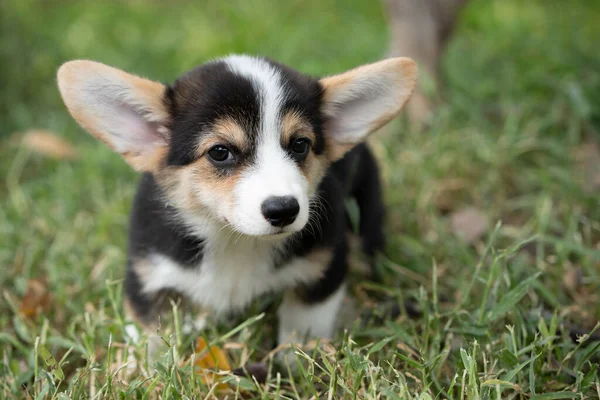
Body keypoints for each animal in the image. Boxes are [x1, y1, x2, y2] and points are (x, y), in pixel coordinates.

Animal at [56, 55, 414, 354]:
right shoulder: (148, 278)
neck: (234, 239)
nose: (284, 210)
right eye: (219, 152)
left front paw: (295, 363)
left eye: (300, 145)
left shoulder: (324, 267)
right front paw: (143, 370)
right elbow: (151, 338)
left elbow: (302, 326)